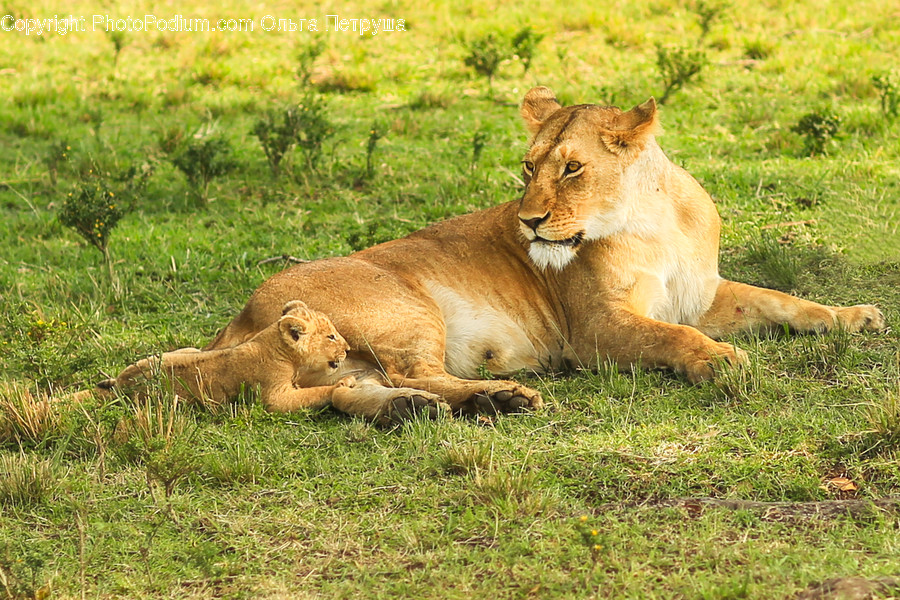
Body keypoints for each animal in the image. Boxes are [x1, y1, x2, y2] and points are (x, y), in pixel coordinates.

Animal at [97, 300, 445, 423]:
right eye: (332, 337)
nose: (348, 348)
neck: (271, 343)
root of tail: (121, 382)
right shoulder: (273, 399)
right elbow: (314, 393)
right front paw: (343, 383)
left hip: (188, 350)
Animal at [203, 87, 886, 420]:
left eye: (573, 168)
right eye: (529, 168)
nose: (528, 222)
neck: (651, 222)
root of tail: (237, 319)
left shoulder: (700, 295)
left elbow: (784, 300)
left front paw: (854, 317)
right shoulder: (595, 328)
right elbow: (673, 338)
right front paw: (719, 361)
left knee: (358, 392)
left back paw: (455, 406)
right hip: (401, 309)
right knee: (412, 373)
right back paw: (501, 396)